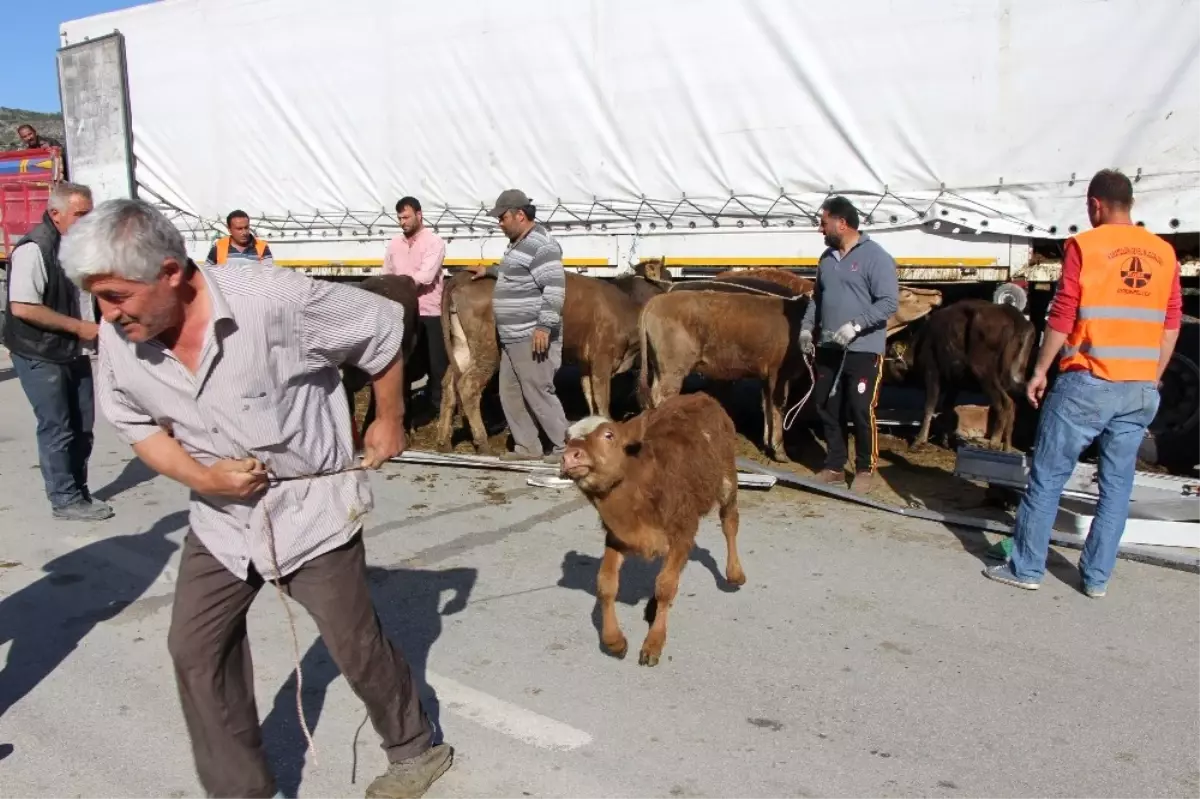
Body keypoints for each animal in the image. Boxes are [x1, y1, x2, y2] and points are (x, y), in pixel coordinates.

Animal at [559, 391, 744, 667]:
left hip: (726, 475)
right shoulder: (616, 537)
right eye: (566, 438)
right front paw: (614, 641)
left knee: (729, 520)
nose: (570, 456)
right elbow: (606, 584)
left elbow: (666, 586)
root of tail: (701, 395)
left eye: (609, 435)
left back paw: (734, 573)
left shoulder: (683, 531)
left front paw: (654, 643)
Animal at [638, 286, 806, 460]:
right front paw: (779, 451)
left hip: (660, 366)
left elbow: (767, 406)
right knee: (663, 397)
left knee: (654, 395)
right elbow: (778, 408)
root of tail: (656, 300)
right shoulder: (779, 374)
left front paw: (767, 444)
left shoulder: (767, 376)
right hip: (673, 367)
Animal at [888, 297, 1036, 448]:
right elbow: (947, 407)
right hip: (1010, 377)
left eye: (891, 354)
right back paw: (1007, 446)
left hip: (983, 372)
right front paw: (946, 440)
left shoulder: (932, 372)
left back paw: (994, 441)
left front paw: (919, 440)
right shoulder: (955, 383)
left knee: (1004, 404)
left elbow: (929, 406)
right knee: (1012, 405)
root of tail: (1015, 316)